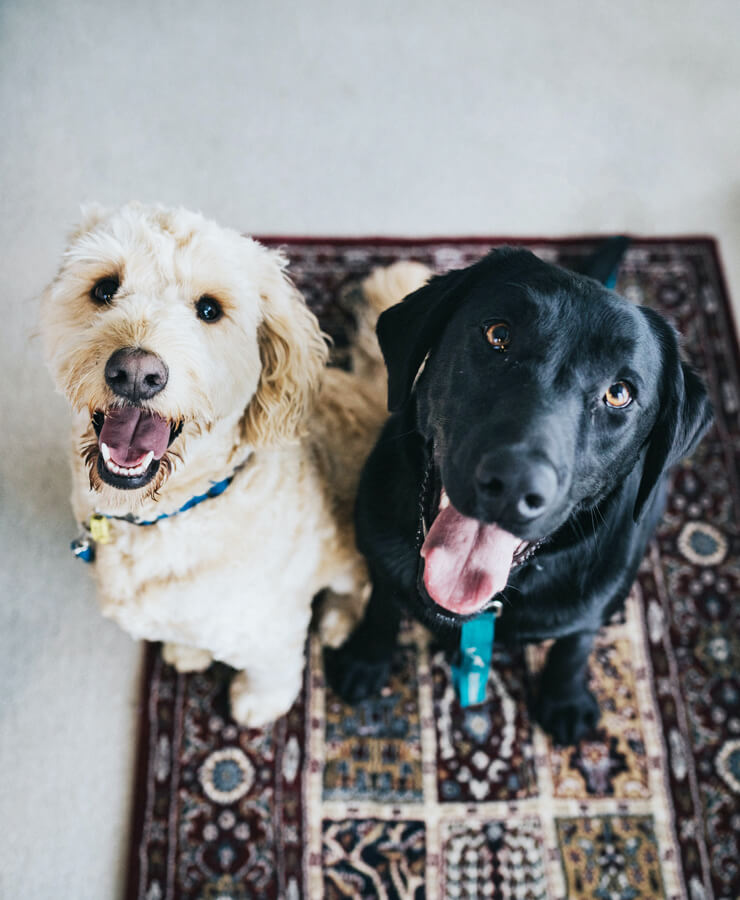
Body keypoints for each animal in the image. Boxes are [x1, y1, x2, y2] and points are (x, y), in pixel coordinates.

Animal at [43, 204, 428, 724]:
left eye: (209, 309)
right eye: (104, 288)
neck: (171, 513)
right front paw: (188, 651)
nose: (136, 373)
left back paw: (337, 620)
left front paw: (256, 704)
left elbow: (272, 671)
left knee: (358, 588)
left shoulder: (271, 625)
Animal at [326, 244, 712, 744]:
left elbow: (575, 644)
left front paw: (565, 698)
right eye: (498, 335)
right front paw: (365, 657)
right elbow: (381, 603)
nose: (513, 484)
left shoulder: (590, 603)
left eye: (619, 393)